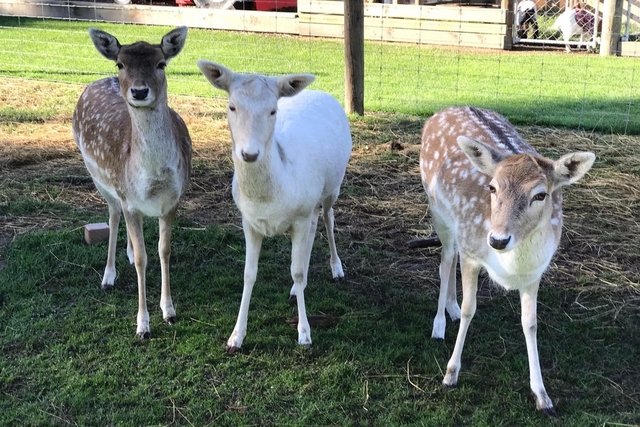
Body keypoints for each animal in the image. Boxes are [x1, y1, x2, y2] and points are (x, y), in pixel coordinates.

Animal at [72, 27, 191, 342]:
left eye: (161, 63)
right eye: (121, 64)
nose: (139, 91)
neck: (153, 178)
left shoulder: (173, 200)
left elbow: (163, 250)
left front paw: (169, 311)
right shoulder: (129, 199)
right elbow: (141, 258)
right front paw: (143, 326)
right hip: (99, 177)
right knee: (113, 215)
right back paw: (108, 276)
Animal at [198, 61, 352, 354]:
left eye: (273, 110)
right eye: (231, 106)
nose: (249, 153)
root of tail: (321, 92)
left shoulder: (300, 216)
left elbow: (297, 270)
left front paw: (304, 333)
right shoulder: (248, 221)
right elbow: (248, 274)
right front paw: (236, 337)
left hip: (332, 187)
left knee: (328, 218)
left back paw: (337, 269)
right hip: (312, 202)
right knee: (315, 226)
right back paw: (296, 289)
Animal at [420, 105, 596, 416]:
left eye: (541, 194)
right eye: (492, 187)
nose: (498, 240)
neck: (511, 266)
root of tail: (442, 111)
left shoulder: (535, 272)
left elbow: (530, 323)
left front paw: (543, 397)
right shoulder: (472, 252)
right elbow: (470, 309)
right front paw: (450, 375)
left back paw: (451, 310)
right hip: (439, 212)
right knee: (445, 259)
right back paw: (439, 324)